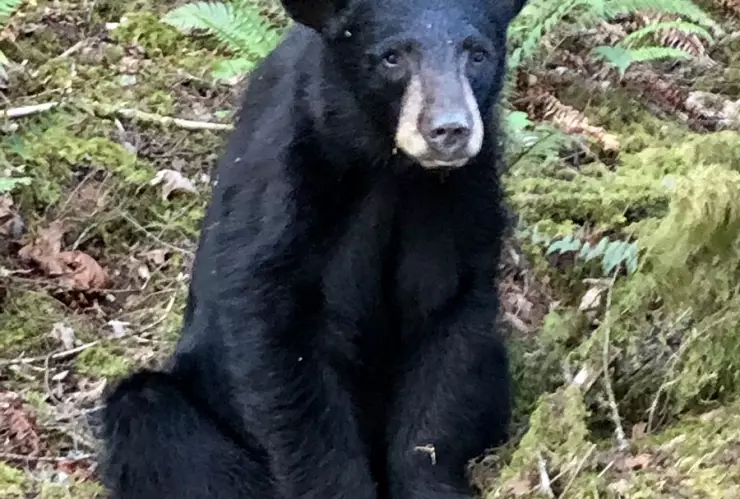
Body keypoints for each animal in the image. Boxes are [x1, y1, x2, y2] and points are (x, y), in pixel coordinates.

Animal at [98, 0, 529, 498]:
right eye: (392, 57)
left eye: (477, 54)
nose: (450, 129)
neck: (390, 169)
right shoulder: (289, 183)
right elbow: (278, 343)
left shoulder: (464, 198)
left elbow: (450, 329)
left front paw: (428, 482)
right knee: (151, 418)